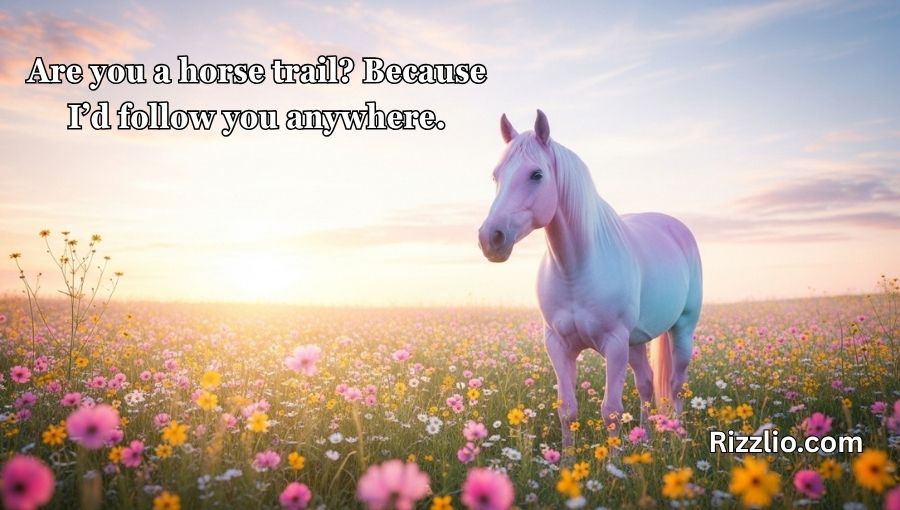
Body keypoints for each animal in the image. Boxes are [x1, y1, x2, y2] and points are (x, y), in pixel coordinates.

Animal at [477, 110, 702, 448]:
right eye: (496, 176)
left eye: (536, 175)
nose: (490, 238)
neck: (576, 269)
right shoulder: (558, 345)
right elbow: (567, 409)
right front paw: (568, 461)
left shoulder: (615, 344)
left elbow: (611, 411)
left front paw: (615, 461)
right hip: (636, 341)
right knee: (647, 384)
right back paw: (646, 442)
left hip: (682, 328)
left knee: (676, 385)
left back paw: (677, 440)